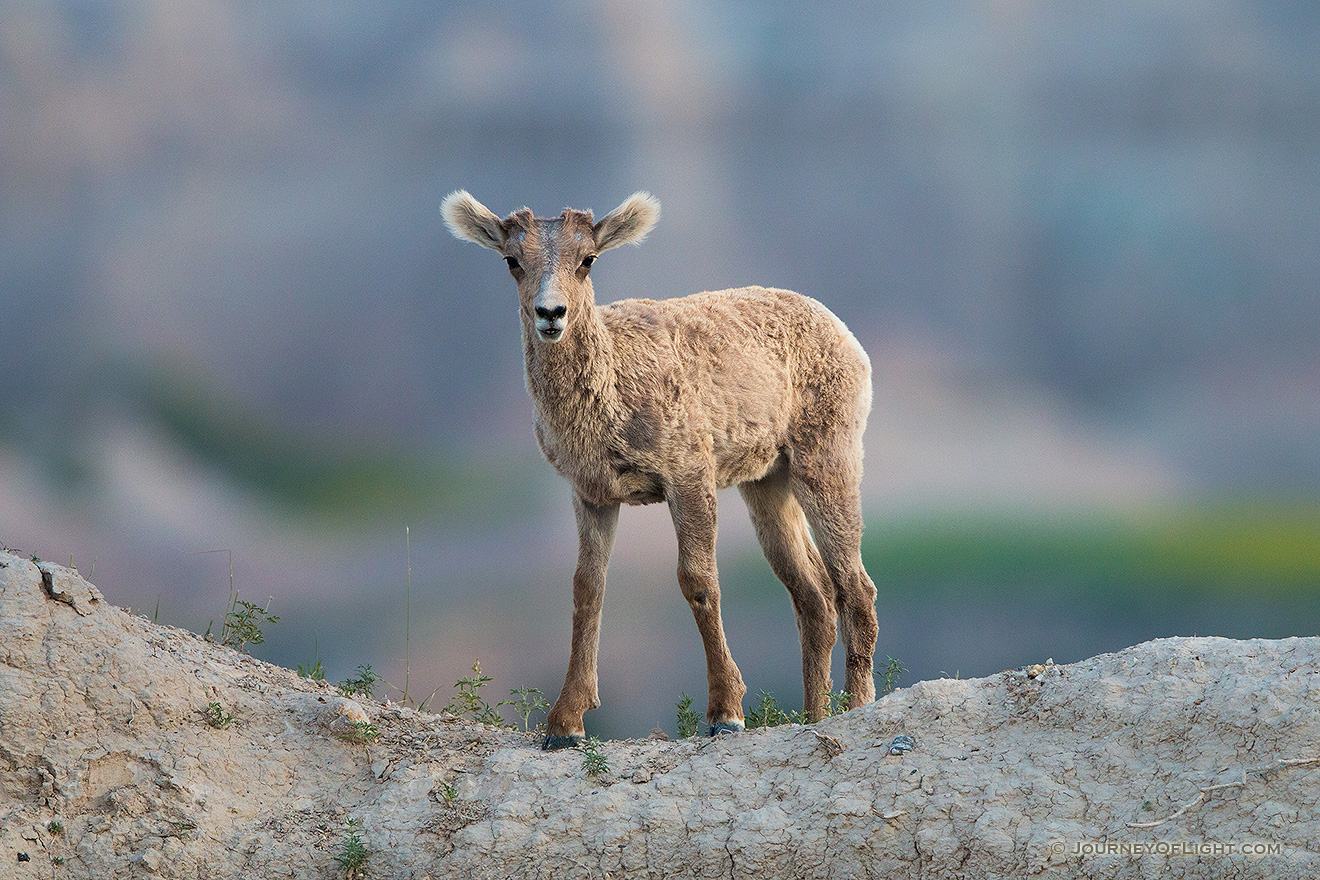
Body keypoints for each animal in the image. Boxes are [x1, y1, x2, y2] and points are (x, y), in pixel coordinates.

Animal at [443, 191, 876, 749]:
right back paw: (813, 717)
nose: (551, 312)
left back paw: (857, 707)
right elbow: (587, 588)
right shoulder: (593, 495)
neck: (612, 392)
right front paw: (565, 724)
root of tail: (846, 336)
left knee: (855, 587)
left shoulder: (688, 474)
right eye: (511, 260)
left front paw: (725, 714)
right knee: (815, 597)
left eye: (588, 259)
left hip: (826, 458)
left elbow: (697, 580)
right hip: (766, 483)